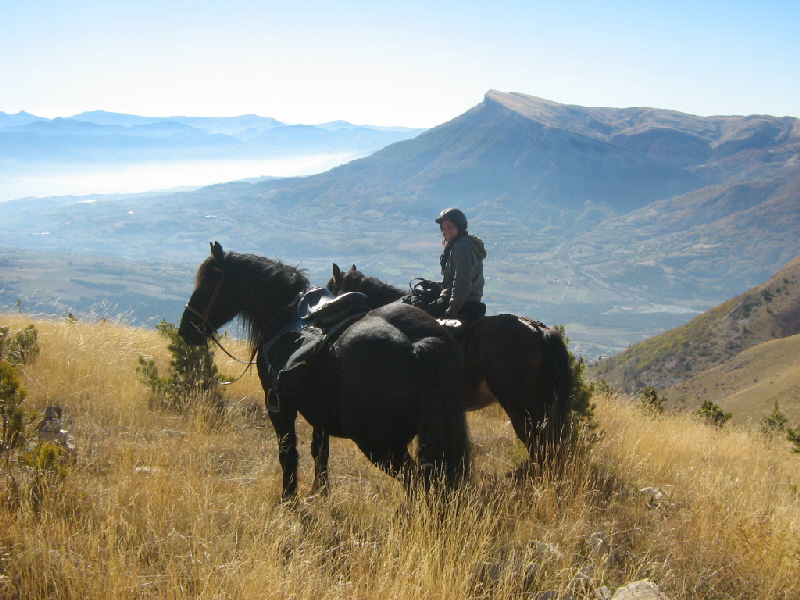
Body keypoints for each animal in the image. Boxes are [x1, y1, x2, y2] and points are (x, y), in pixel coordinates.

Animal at [178, 241, 472, 500]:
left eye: (208, 282)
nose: (186, 329)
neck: (282, 311)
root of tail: (417, 343)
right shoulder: (318, 412)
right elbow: (320, 451)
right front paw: (319, 491)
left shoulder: (278, 403)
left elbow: (288, 452)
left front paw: (290, 498)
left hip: (380, 445)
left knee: (417, 480)